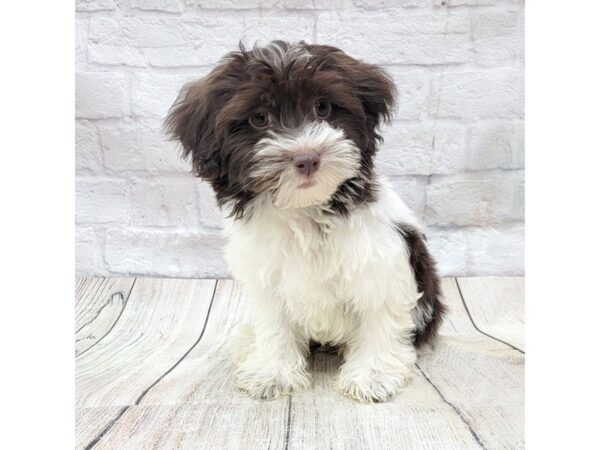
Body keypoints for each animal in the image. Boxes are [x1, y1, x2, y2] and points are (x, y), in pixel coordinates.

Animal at [164, 40, 446, 402]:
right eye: (260, 118)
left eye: (322, 108)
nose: (307, 157)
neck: (305, 209)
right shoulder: (267, 279)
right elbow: (275, 326)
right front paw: (273, 372)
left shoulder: (378, 267)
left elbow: (377, 318)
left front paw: (373, 375)